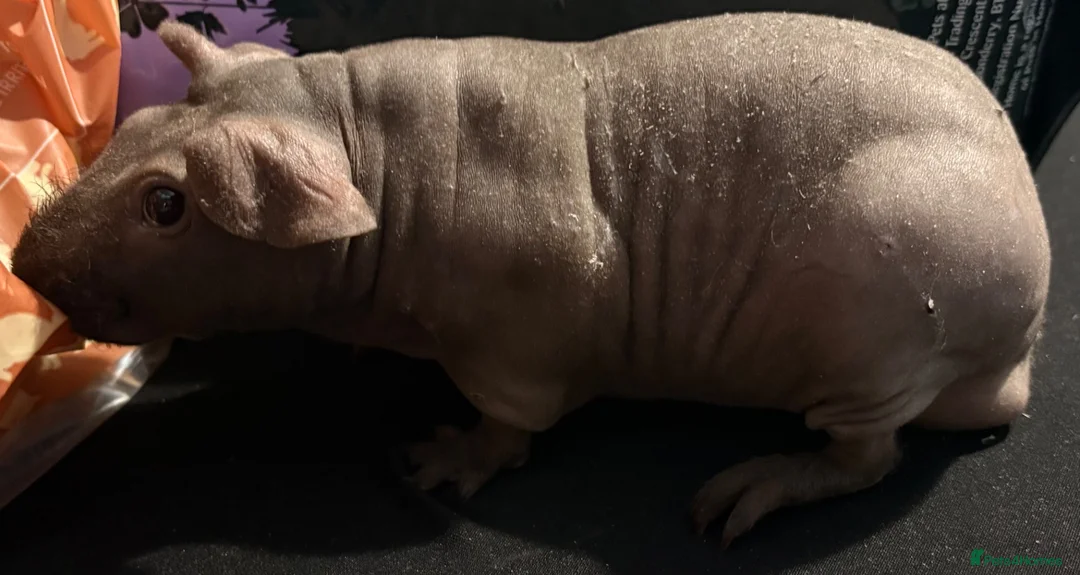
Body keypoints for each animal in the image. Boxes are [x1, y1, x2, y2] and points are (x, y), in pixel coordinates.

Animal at [10, 13, 1051, 548]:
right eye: (138, 128)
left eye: (165, 204)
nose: (23, 261)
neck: (363, 143)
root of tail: (1019, 351)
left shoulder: (518, 337)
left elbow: (513, 426)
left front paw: (445, 458)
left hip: (873, 334)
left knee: (869, 457)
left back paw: (754, 487)